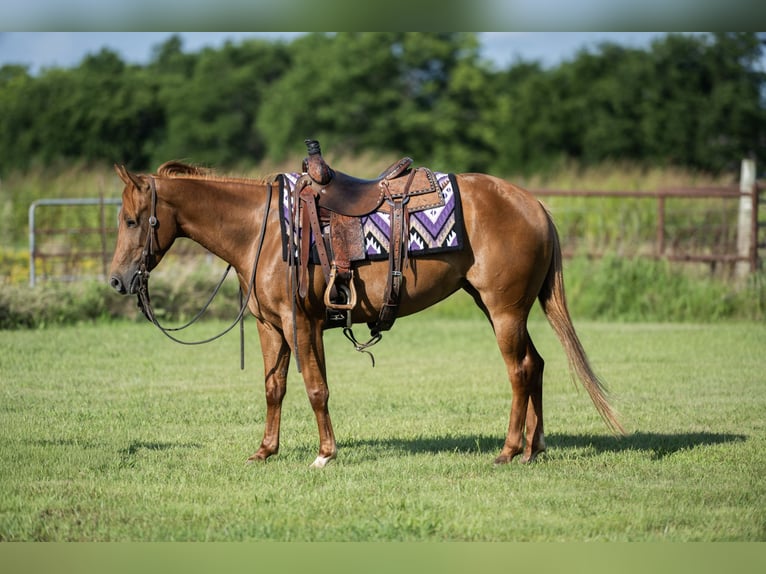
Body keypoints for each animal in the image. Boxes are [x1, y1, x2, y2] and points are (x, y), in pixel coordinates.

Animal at [109, 159, 624, 468]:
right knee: (535, 364)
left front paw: (325, 454)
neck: (263, 231)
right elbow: (275, 388)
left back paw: (508, 450)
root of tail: (533, 204)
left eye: (132, 220)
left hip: (505, 311)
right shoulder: (270, 326)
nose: (117, 280)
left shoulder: (301, 323)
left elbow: (316, 388)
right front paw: (265, 450)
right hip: (503, 309)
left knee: (518, 370)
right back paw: (534, 449)